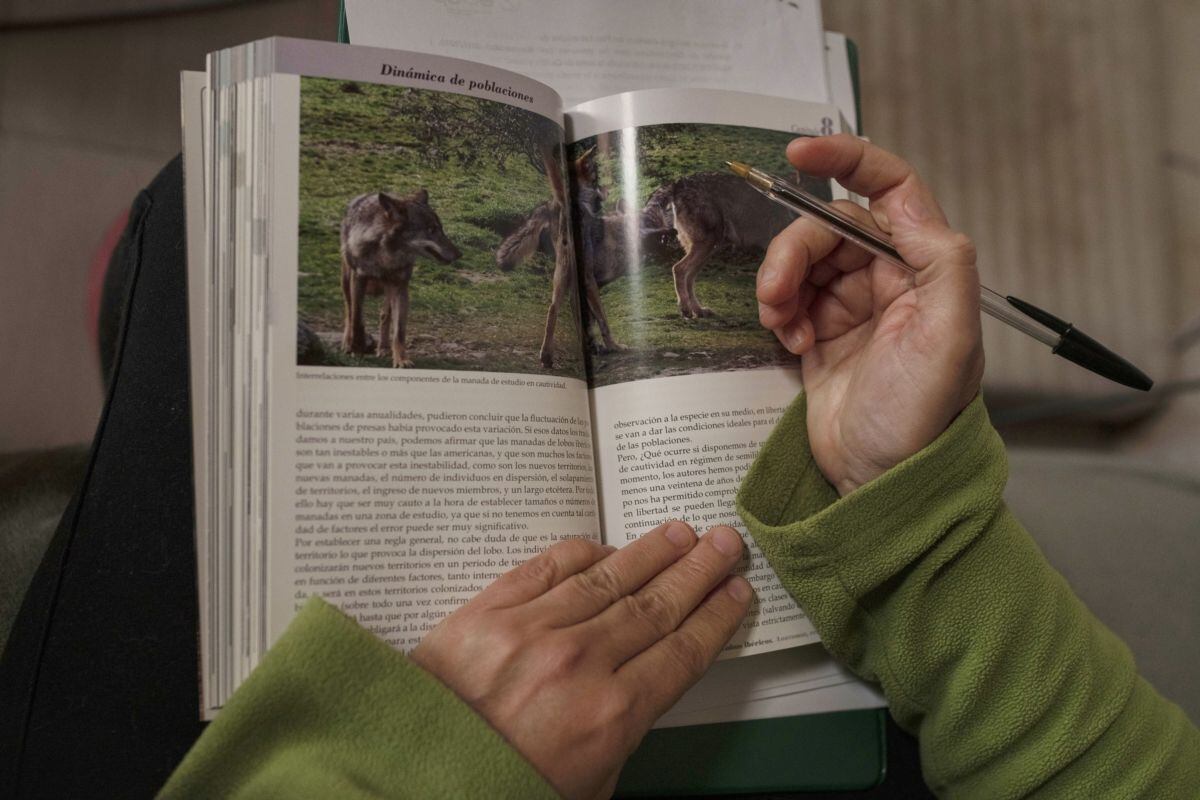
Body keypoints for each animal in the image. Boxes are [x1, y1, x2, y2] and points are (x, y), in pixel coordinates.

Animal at [340, 189, 462, 368]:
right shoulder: (358, 279)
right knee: (349, 311)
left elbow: (399, 331)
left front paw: (401, 360)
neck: (385, 254)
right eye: (431, 229)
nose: (459, 254)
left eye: (441, 228)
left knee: (385, 314)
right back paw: (347, 343)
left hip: (389, 287)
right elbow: (356, 319)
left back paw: (383, 349)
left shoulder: (400, 286)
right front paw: (357, 348)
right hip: (346, 279)